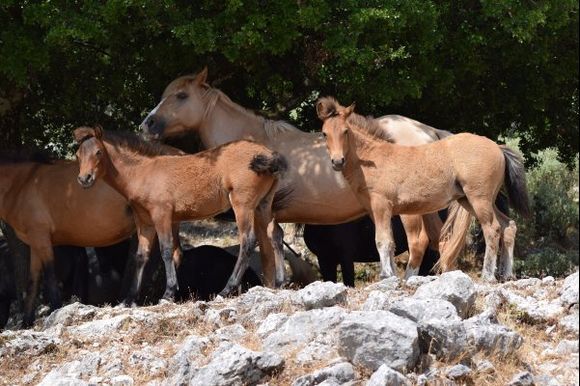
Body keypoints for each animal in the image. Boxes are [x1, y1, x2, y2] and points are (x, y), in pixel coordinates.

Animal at [75, 126, 288, 302]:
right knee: (275, 234)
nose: (84, 179)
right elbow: (145, 256)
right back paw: (281, 282)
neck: (142, 174)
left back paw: (227, 289)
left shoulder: (161, 215)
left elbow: (167, 250)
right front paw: (131, 299)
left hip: (243, 205)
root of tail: (267, 154)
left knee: (248, 241)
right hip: (263, 205)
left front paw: (167, 294)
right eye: (78, 155)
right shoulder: (147, 221)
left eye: (98, 152)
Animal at [139, 67, 458, 278]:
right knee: (439, 240)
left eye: (181, 95)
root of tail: (428, 131)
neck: (253, 143)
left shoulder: (258, 213)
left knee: (420, 242)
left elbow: (267, 259)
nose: (147, 124)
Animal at [318, 98, 532, 282]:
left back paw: (488, 276)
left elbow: (382, 240)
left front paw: (386, 275)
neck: (374, 159)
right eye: (324, 133)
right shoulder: (378, 210)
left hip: (479, 199)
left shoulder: (382, 206)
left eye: (346, 131)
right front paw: (392, 275)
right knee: (508, 226)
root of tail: (497, 146)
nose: (337, 161)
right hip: (472, 200)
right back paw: (507, 274)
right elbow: (390, 242)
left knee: (492, 229)